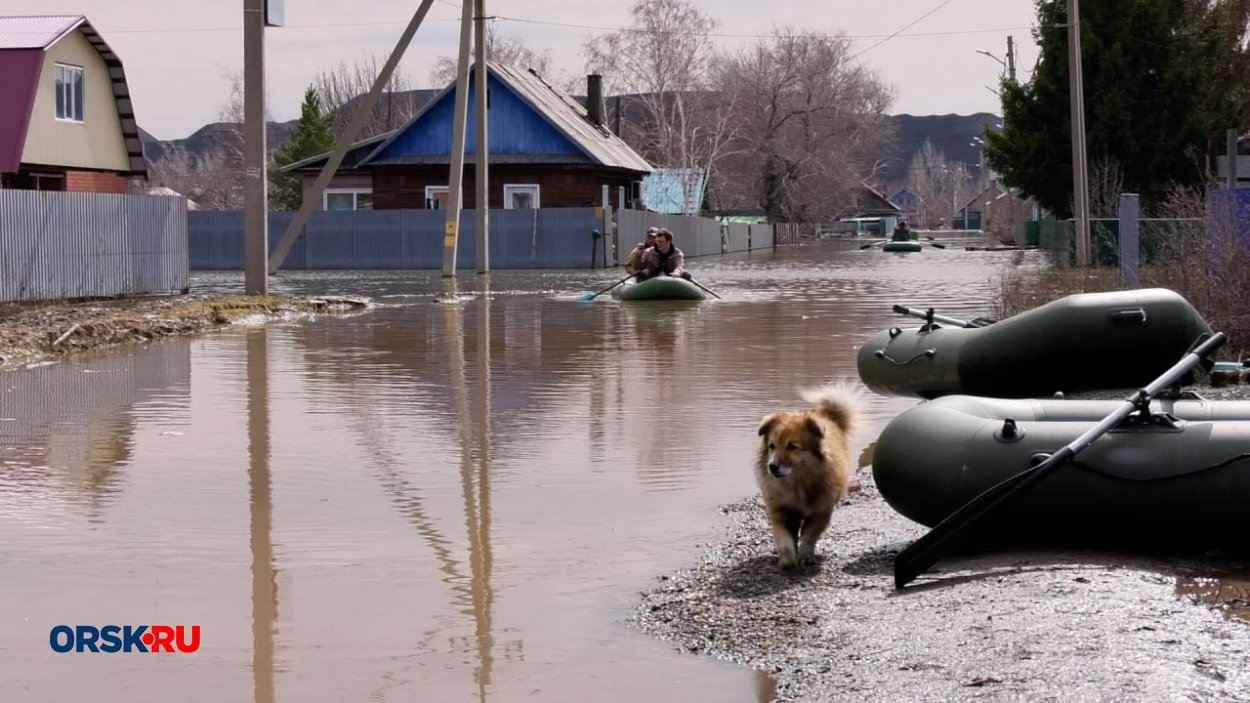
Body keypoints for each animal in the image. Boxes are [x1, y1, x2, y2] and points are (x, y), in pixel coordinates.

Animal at [750, 382, 860, 570]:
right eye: (772, 446)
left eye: (792, 447)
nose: (772, 467)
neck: (797, 483)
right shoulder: (780, 510)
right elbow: (784, 539)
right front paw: (788, 560)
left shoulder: (821, 511)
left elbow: (809, 535)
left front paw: (805, 556)